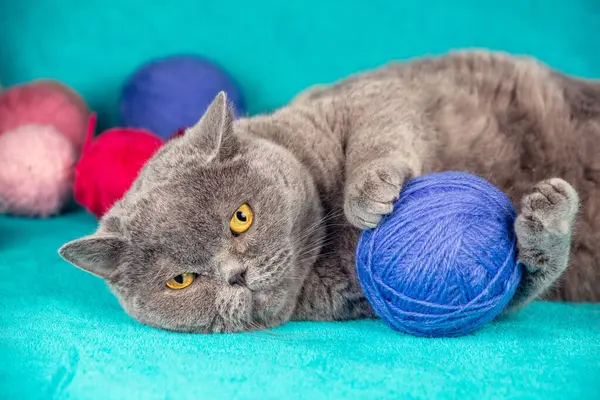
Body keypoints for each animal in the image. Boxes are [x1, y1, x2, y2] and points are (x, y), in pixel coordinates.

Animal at [57, 50, 596, 332]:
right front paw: (548, 220)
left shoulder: (373, 96)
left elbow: (378, 130)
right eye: (181, 282)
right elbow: (501, 290)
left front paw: (370, 195)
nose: (236, 276)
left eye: (241, 217)